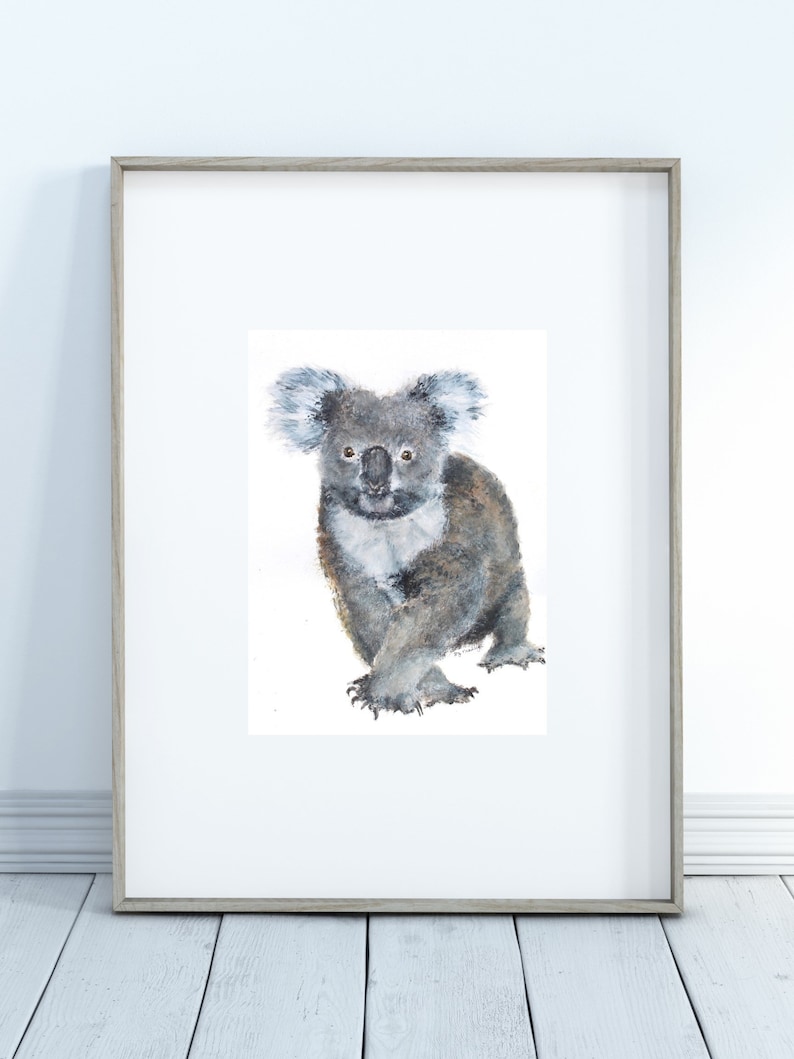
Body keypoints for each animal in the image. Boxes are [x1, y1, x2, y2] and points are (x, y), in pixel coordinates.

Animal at [270, 366, 545, 718]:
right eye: (349, 452)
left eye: (406, 454)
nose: (375, 482)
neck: (385, 525)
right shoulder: (345, 560)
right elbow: (372, 618)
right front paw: (429, 691)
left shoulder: (456, 550)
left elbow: (427, 623)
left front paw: (387, 694)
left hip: (510, 576)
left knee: (514, 608)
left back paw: (512, 653)